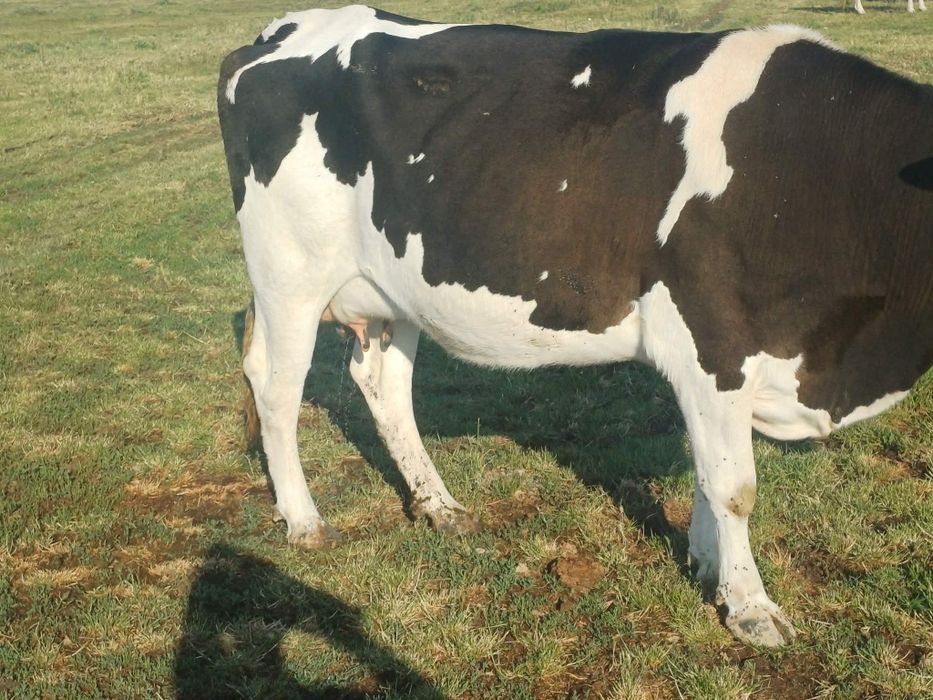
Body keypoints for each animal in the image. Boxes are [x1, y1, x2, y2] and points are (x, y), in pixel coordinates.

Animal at [217, 5, 933, 647]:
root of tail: (284, 29)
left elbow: (706, 475)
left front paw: (707, 566)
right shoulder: (715, 341)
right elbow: (734, 488)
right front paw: (751, 608)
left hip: (391, 287)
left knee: (382, 383)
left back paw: (439, 506)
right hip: (288, 271)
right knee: (275, 388)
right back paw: (305, 521)